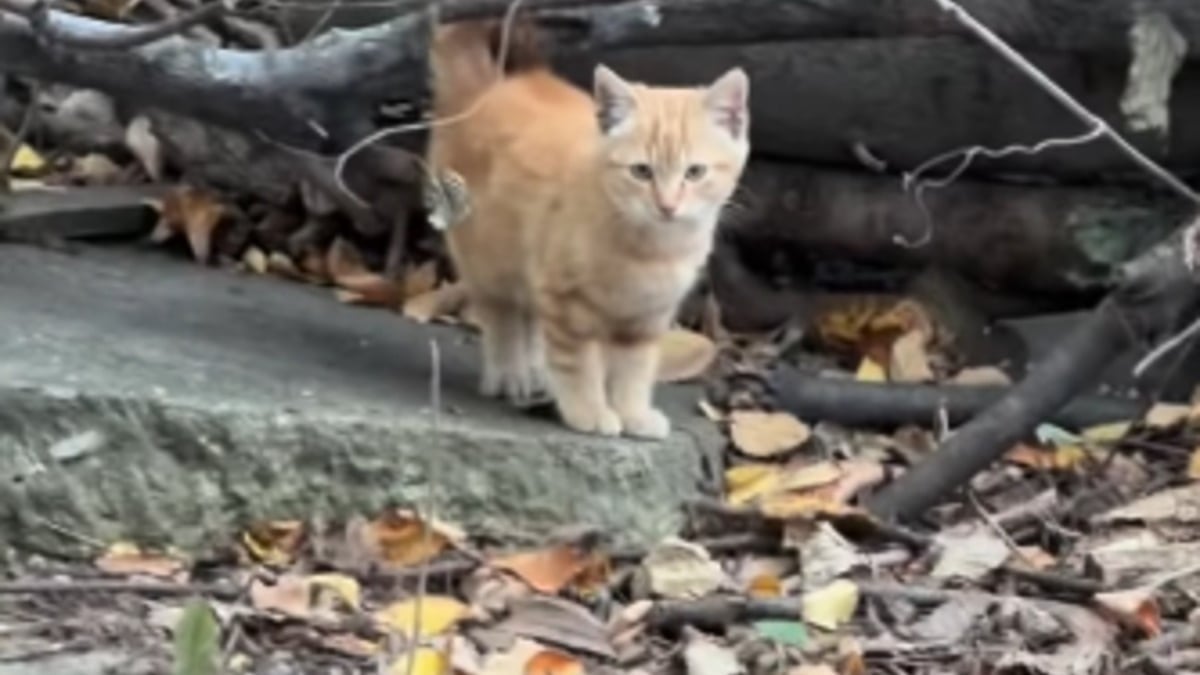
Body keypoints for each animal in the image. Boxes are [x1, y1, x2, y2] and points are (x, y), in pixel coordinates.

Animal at [427, 22, 748, 437]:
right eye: (641, 172)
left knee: (530, 319)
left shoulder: (644, 319)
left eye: (695, 172)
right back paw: (510, 374)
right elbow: (579, 365)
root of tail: (486, 90)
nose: (667, 206)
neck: (652, 247)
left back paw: (536, 374)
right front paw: (590, 411)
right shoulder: (568, 305)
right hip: (491, 261)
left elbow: (634, 371)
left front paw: (633, 413)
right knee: (503, 318)